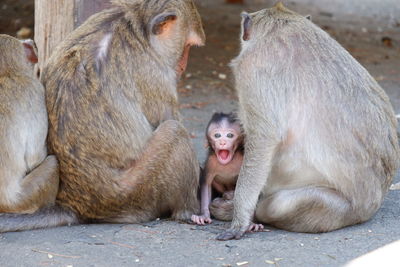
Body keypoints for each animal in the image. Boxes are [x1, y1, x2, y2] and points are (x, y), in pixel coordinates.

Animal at [0, 35, 59, 216]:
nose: (32, 43)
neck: (5, 73)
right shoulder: (36, 90)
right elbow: (34, 158)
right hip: (22, 199)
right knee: (53, 164)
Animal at [217, 1, 400, 241]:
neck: (282, 27)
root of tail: (373, 206)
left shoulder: (252, 70)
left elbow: (265, 137)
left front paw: (240, 220)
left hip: (337, 209)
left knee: (276, 206)